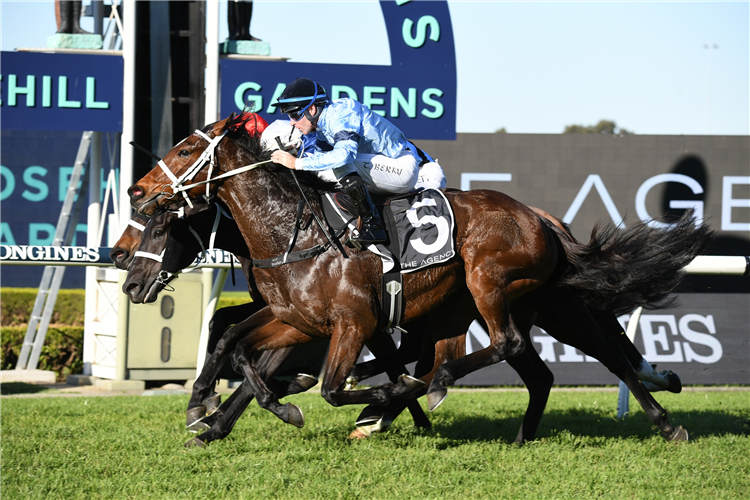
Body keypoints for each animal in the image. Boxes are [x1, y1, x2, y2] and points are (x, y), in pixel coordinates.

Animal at [123, 114, 712, 442]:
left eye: (184, 149)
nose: (137, 191)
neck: (293, 232)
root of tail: (540, 217)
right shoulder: (298, 319)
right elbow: (237, 346)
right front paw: (212, 411)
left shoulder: (354, 323)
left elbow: (331, 385)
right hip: (495, 305)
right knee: (538, 370)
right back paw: (523, 435)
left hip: (502, 288)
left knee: (559, 350)